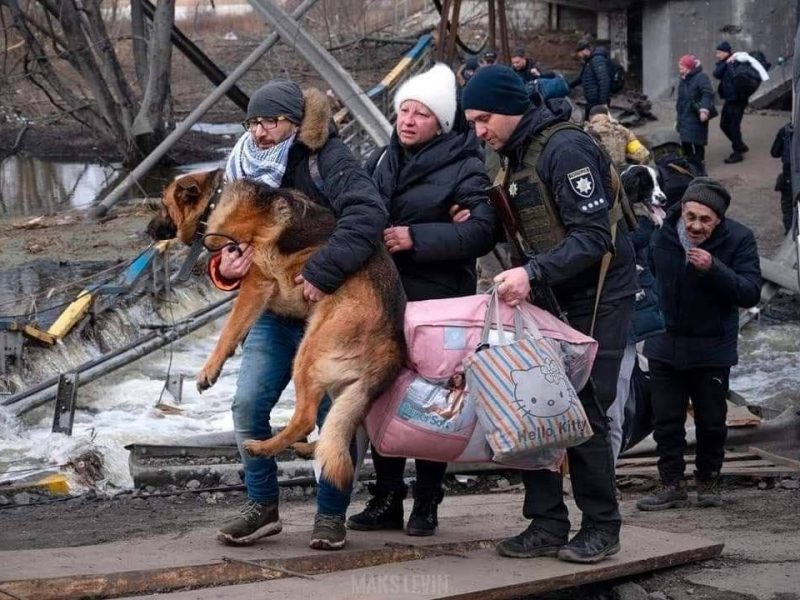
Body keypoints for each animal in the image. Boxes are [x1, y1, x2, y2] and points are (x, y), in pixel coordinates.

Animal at [148, 169, 406, 488]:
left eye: (162, 204)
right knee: (341, 430)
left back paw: (263, 447)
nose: (147, 231)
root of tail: (393, 341)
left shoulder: (255, 283)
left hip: (308, 353)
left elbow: (229, 330)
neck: (216, 200)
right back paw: (311, 448)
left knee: (306, 419)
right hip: (341, 385)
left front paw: (210, 369)